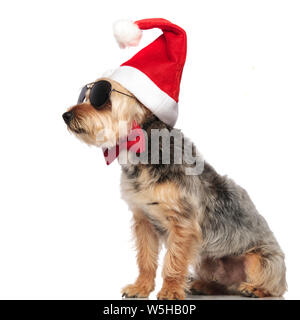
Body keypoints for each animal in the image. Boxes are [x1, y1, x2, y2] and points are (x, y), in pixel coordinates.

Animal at [62, 78, 286, 300]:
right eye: (83, 97)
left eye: (101, 99)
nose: (66, 115)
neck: (142, 150)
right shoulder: (144, 220)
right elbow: (145, 258)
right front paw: (141, 287)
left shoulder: (182, 224)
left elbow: (174, 260)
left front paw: (170, 290)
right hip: (207, 260)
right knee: (221, 284)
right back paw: (203, 285)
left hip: (261, 261)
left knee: (274, 286)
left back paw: (254, 289)